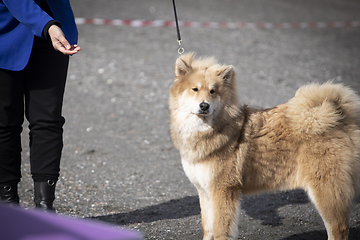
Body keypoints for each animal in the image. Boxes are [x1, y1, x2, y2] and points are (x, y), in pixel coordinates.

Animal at [169, 53, 360, 240]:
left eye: (213, 91)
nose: (204, 105)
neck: (207, 129)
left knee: (339, 229)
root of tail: (340, 118)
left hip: (326, 190)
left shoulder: (223, 190)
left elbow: (221, 231)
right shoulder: (204, 190)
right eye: (194, 89)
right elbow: (207, 228)